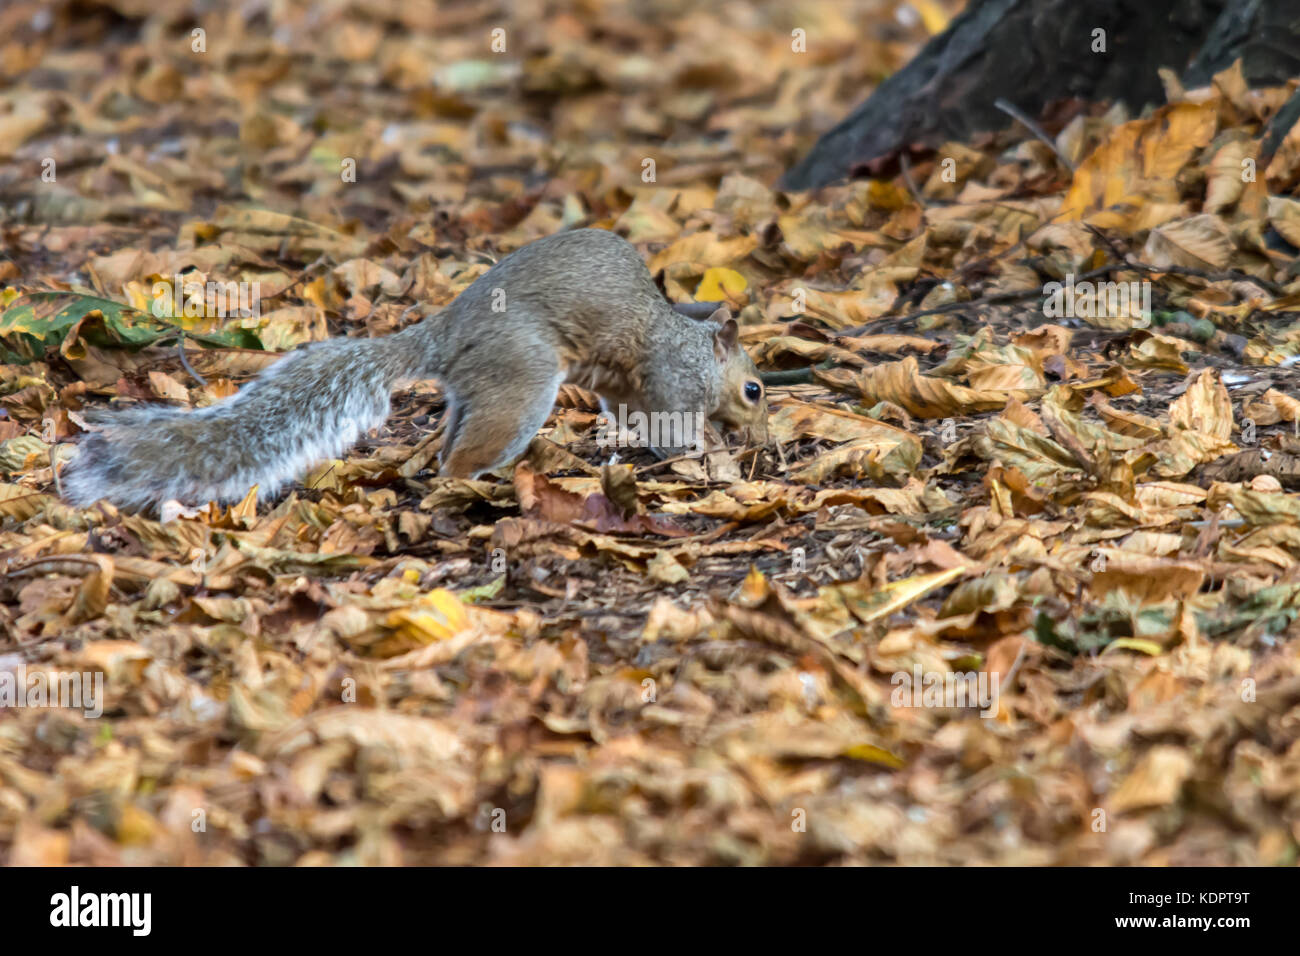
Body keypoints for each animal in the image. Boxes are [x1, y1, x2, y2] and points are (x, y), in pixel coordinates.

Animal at [61, 227, 764, 512]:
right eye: (755, 389)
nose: (759, 434)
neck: (691, 343)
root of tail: (446, 335)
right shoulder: (672, 379)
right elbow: (676, 427)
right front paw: (705, 458)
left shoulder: (630, 389)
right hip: (523, 383)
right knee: (458, 458)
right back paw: (478, 485)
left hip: (487, 388)